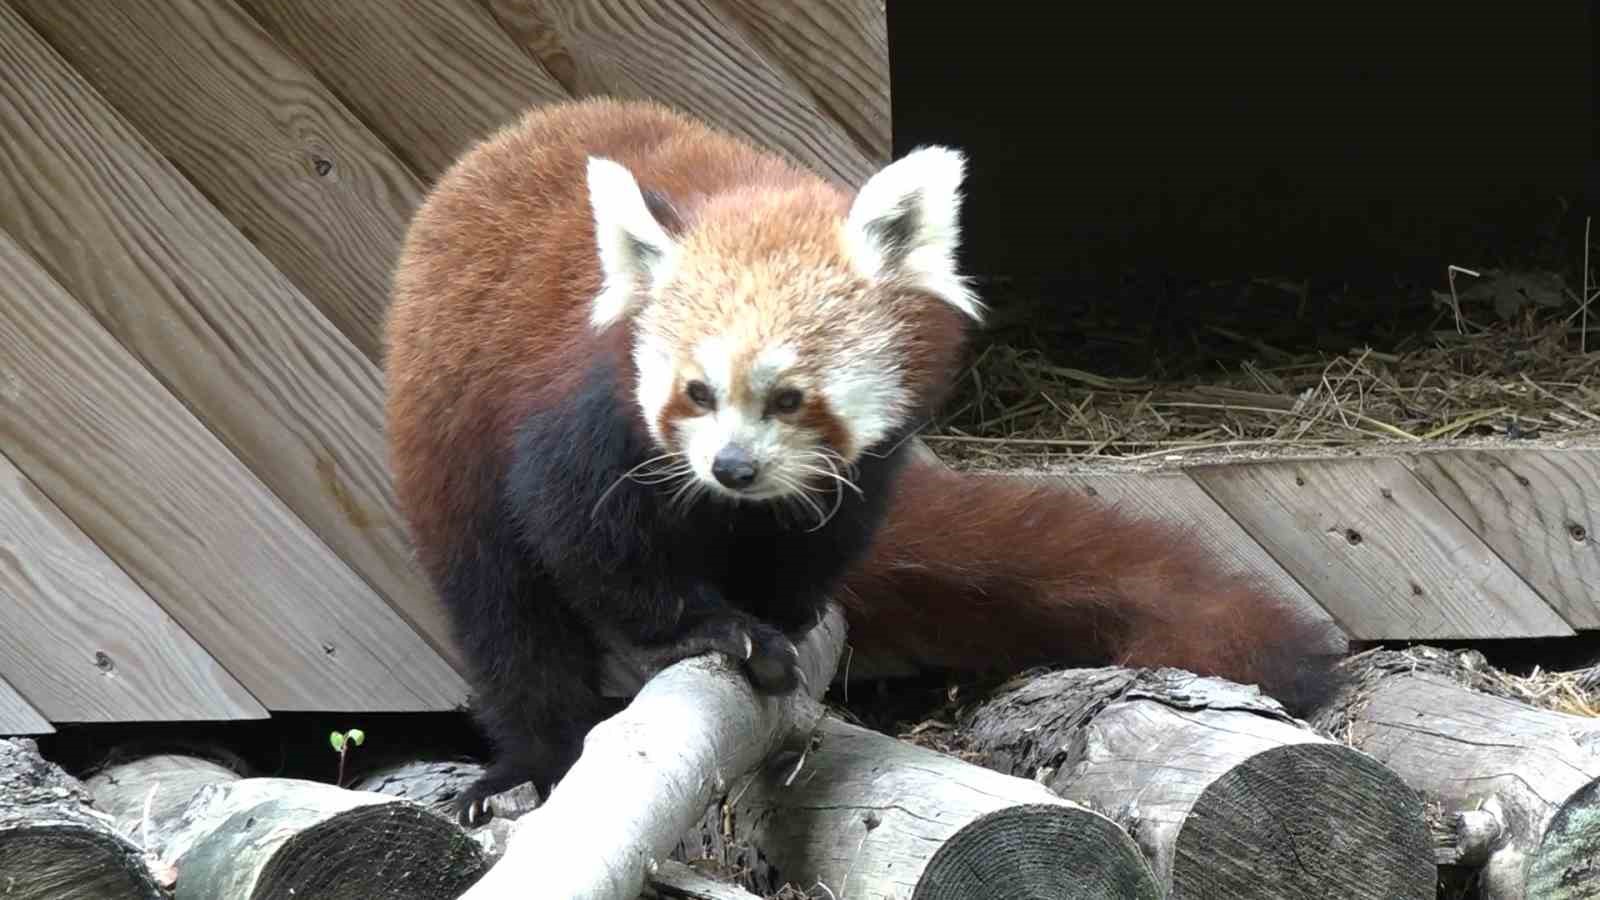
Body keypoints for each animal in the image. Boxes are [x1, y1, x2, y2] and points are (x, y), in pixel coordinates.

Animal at [380, 98, 1344, 819]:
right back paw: (531, 758)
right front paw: (712, 626)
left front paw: (783, 605)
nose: (732, 471)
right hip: (442, 430)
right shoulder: (579, 413)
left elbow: (827, 531)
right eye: (696, 392)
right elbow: (586, 536)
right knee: (501, 606)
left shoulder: (867, 458)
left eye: (789, 397)